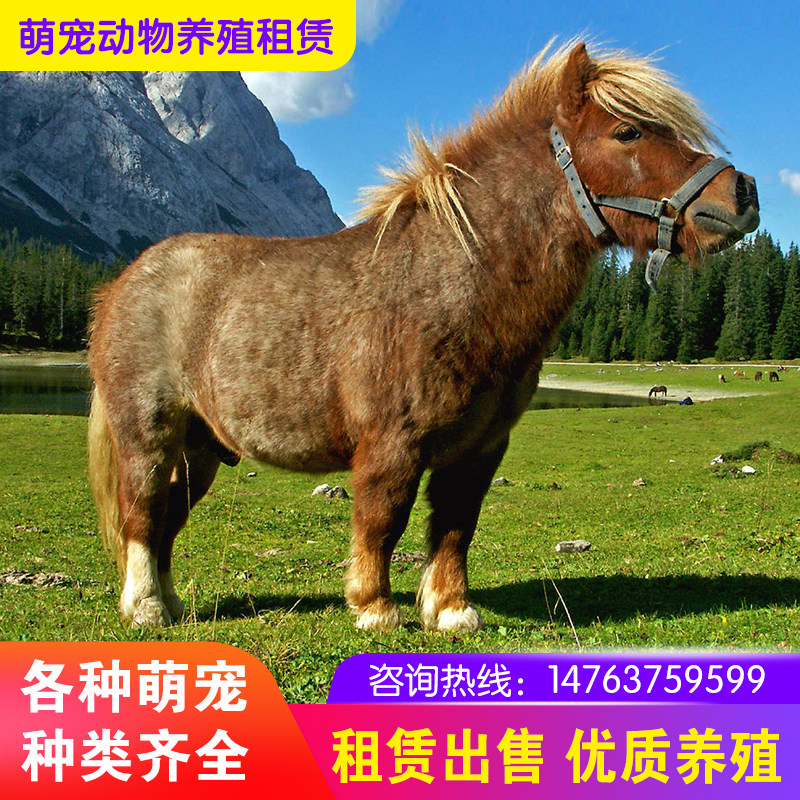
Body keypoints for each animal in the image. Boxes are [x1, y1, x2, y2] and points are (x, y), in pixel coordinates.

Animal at [88, 40, 759, 631]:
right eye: (627, 133)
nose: (742, 193)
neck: (451, 284)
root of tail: (122, 283)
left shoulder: (479, 448)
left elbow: (457, 524)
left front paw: (452, 610)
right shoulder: (392, 444)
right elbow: (383, 521)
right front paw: (375, 609)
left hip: (201, 449)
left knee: (167, 519)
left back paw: (172, 605)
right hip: (149, 436)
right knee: (143, 513)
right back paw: (146, 610)